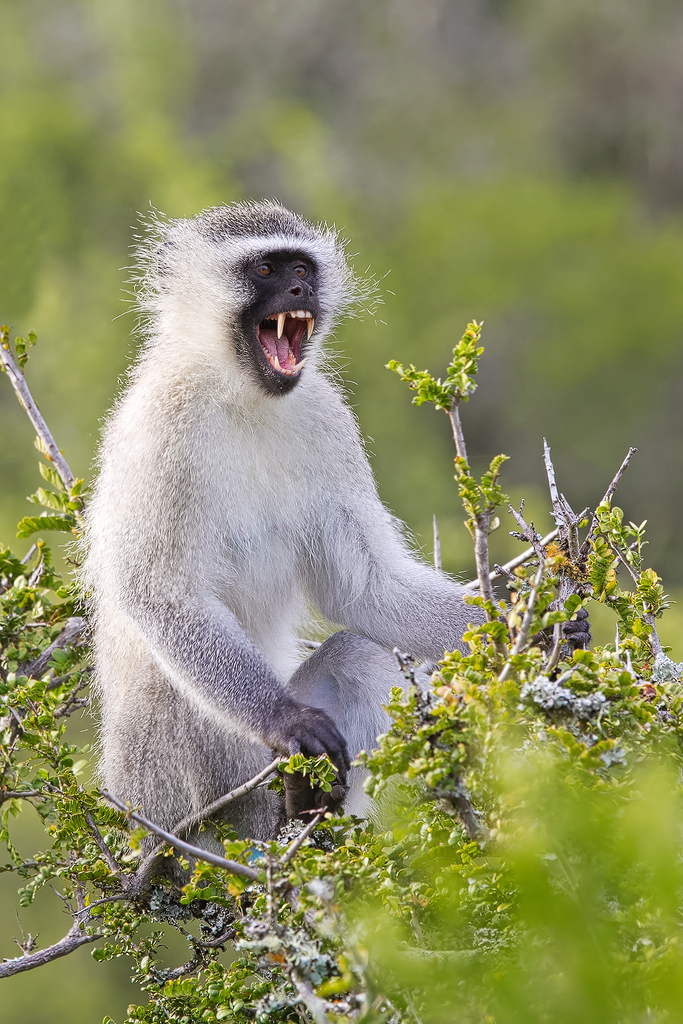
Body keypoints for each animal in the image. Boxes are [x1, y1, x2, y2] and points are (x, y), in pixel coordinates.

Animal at [85, 199, 479, 839]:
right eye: (266, 269)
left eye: (302, 268)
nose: (300, 289)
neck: (243, 397)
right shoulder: (161, 426)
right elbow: (159, 595)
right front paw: (285, 719)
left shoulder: (327, 418)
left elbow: (364, 589)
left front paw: (531, 622)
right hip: (161, 786)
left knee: (361, 654)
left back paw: (308, 808)